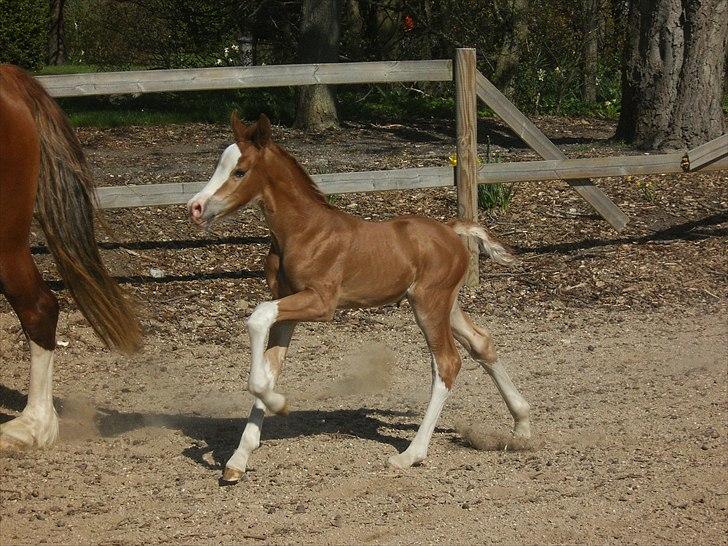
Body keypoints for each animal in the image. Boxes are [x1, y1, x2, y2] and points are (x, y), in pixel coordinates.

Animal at [188, 113, 528, 480]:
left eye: (240, 171)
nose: (195, 207)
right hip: (443, 304)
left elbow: (258, 317)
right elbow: (270, 365)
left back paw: (410, 455)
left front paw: (279, 403)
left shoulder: (321, 302)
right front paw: (239, 458)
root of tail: (452, 230)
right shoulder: (287, 305)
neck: (305, 232)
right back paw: (522, 425)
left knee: (447, 364)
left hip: (429, 305)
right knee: (482, 342)